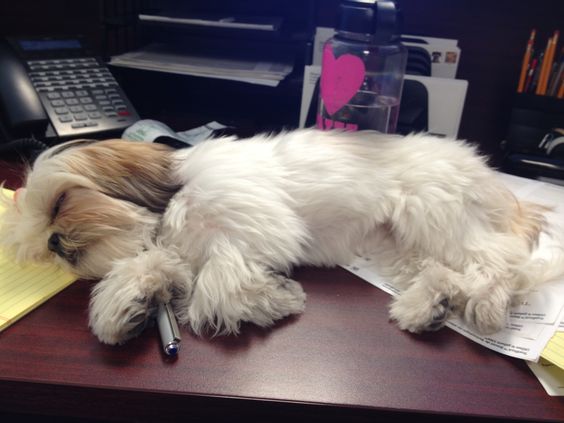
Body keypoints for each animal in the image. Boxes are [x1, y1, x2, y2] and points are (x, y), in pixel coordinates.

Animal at [0, 131, 560, 346]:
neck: (174, 200)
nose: (55, 243)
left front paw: (274, 298)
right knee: (441, 271)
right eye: (42, 240)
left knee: (503, 261)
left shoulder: (256, 226)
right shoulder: (177, 251)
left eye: (61, 203)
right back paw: (430, 305)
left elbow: (218, 286)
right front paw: (127, 305)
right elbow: (153, 270)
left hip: (433, 211)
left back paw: (486, 302)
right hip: (400, 243)